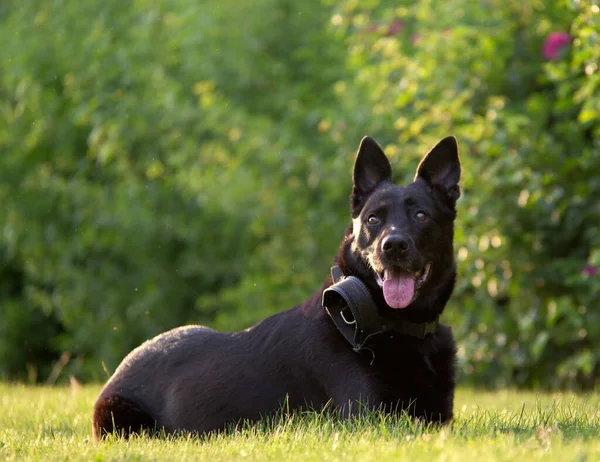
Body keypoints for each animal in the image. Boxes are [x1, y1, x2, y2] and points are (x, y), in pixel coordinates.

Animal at [92, 135, 460, 438]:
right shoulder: (370, 417)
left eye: (421, 216)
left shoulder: (441, 416)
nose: (393, 245)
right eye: (373, 219)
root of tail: (120, 370)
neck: (392, 325)